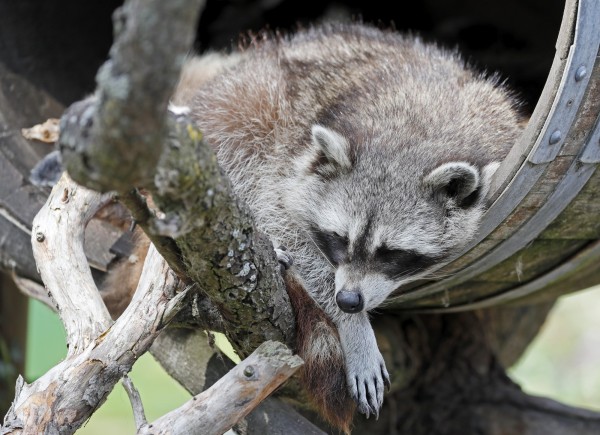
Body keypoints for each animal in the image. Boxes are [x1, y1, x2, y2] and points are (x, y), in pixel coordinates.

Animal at [110, 23, 524, 432]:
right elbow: (281, 215)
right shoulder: (290, 150)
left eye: (390, 253)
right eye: (339, 239)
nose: (349, 301)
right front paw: (354, 328)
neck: (414, 126)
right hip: (240, 107)